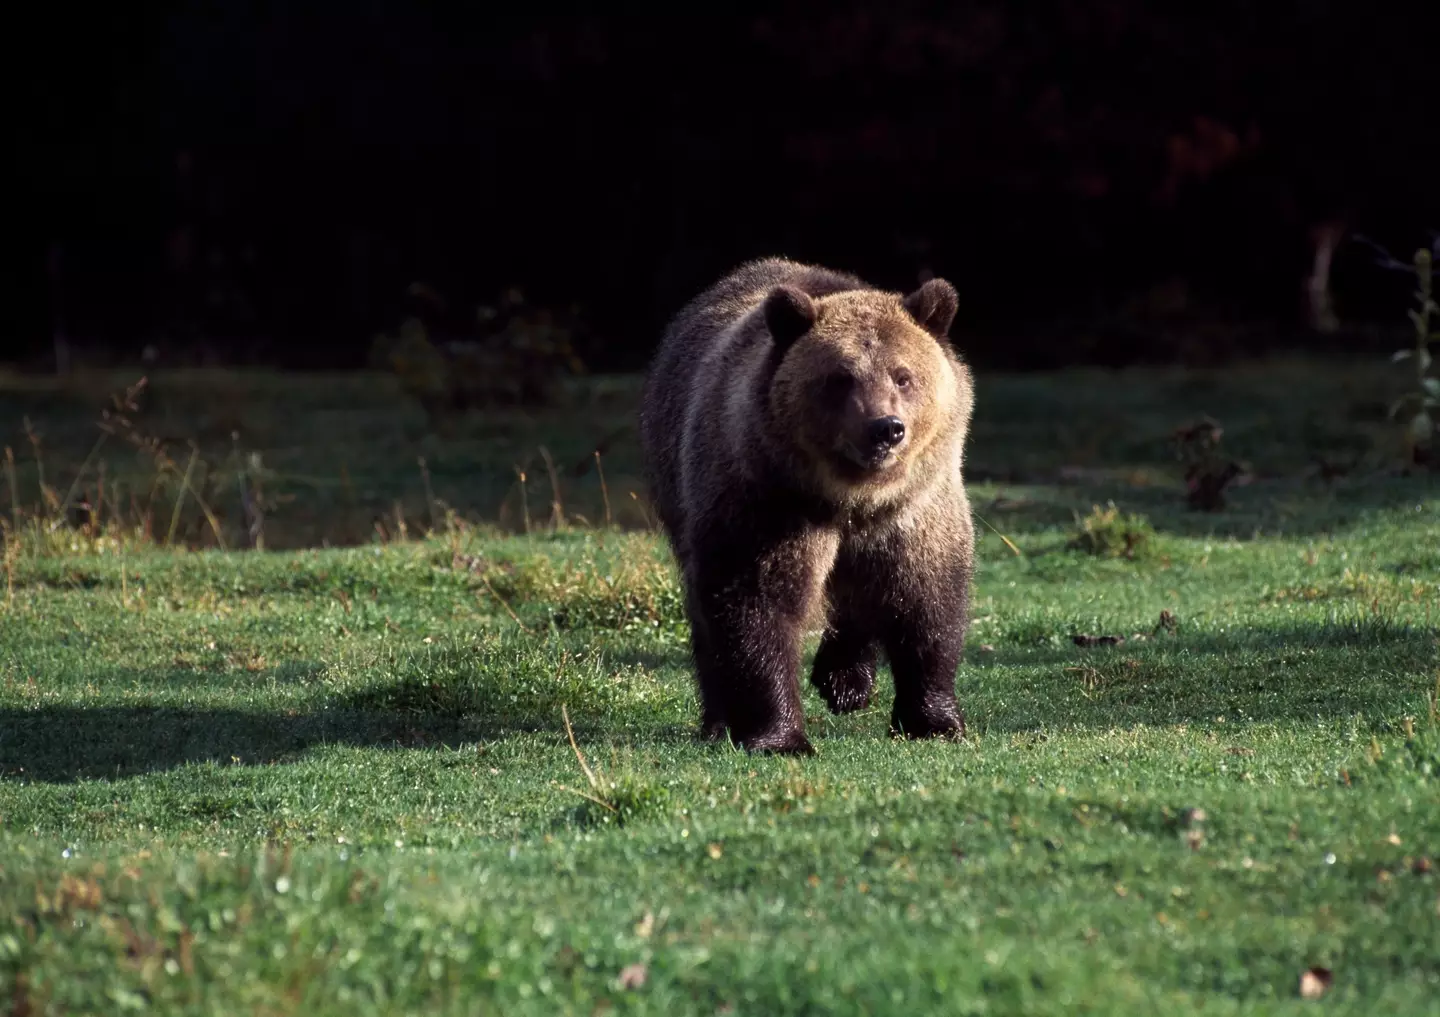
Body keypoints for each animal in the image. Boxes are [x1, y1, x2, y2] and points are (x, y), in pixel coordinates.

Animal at [642, 257, 979, 754]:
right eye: (840, 378)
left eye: (903, 375)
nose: (885, 428)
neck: (853, 496)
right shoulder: (768, 501)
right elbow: (758, 602)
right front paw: (779, 736)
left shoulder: (914, 509)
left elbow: (926, 600)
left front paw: (934, 720)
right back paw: (719, 719)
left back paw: (845, 680)